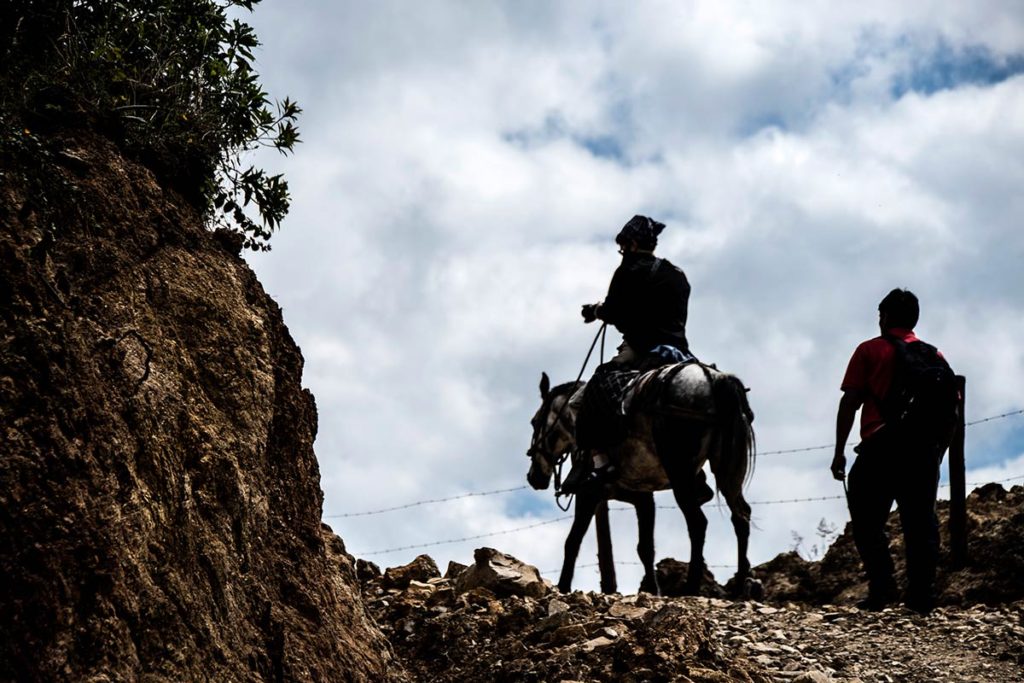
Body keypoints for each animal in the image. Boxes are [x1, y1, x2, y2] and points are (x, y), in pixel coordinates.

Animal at [532, 362, 757, 598]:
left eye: (534, 422)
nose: (534, 477)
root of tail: (713, 379)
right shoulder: (643, 498)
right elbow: (646, 548)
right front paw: (653, 590)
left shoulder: (589, 493)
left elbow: (572, 541)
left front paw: (563, 586)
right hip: (728, 471)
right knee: (741, 516)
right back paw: (741, 586)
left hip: (681, 474)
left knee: (698, 523)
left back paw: (692, 587)